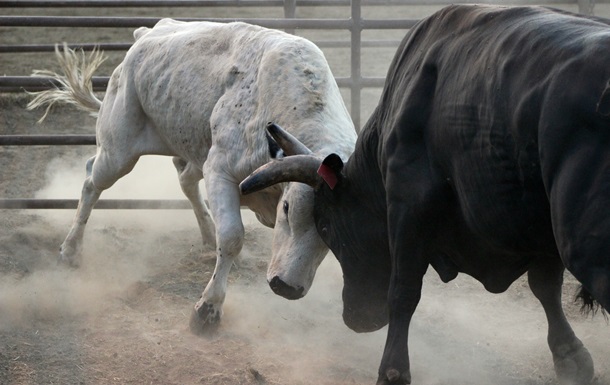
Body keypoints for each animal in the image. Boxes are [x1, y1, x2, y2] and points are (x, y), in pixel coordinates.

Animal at [28, 18, 354, 332]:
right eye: (287, 208)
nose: (285, 287)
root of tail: (146, 34)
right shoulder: (220, 171)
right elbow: (232, 237)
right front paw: (207, 309)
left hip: (192, 151)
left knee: (184, 181)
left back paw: (208, 235)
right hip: (117, 152)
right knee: (90, 181)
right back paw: (70, 250)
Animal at [240, 5, 604, 384]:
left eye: (325, 228)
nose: (355, 317)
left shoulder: (408, 207)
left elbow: (403, 291)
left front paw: (392, 370)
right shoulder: (538, 226)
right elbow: (545, 286)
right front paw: (570, 357)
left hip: (585, 246)